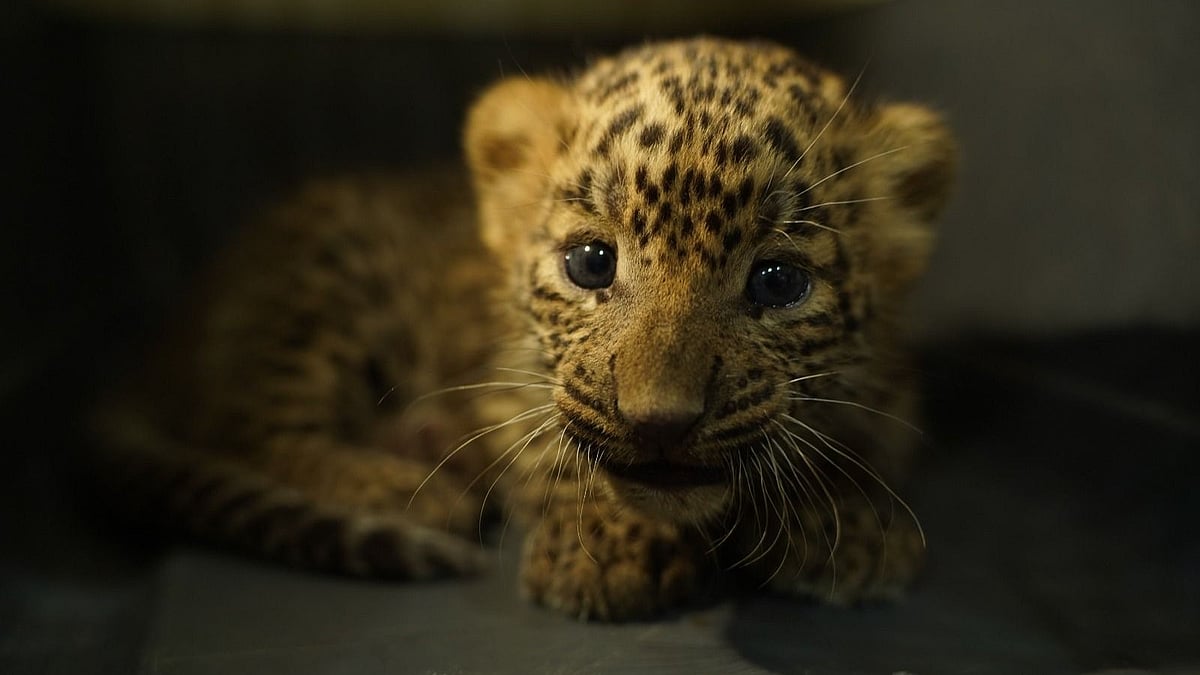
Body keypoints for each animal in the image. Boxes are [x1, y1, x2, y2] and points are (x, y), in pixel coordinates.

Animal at [90, 36, 956, 621]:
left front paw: (844, 519)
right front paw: (608, 543)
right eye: (591, 263)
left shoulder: (895, 394)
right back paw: (402, 484)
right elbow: (551, 444)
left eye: (779, 283)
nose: (661, 422)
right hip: (321, 285)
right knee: (244, 428)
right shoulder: (504, 378)